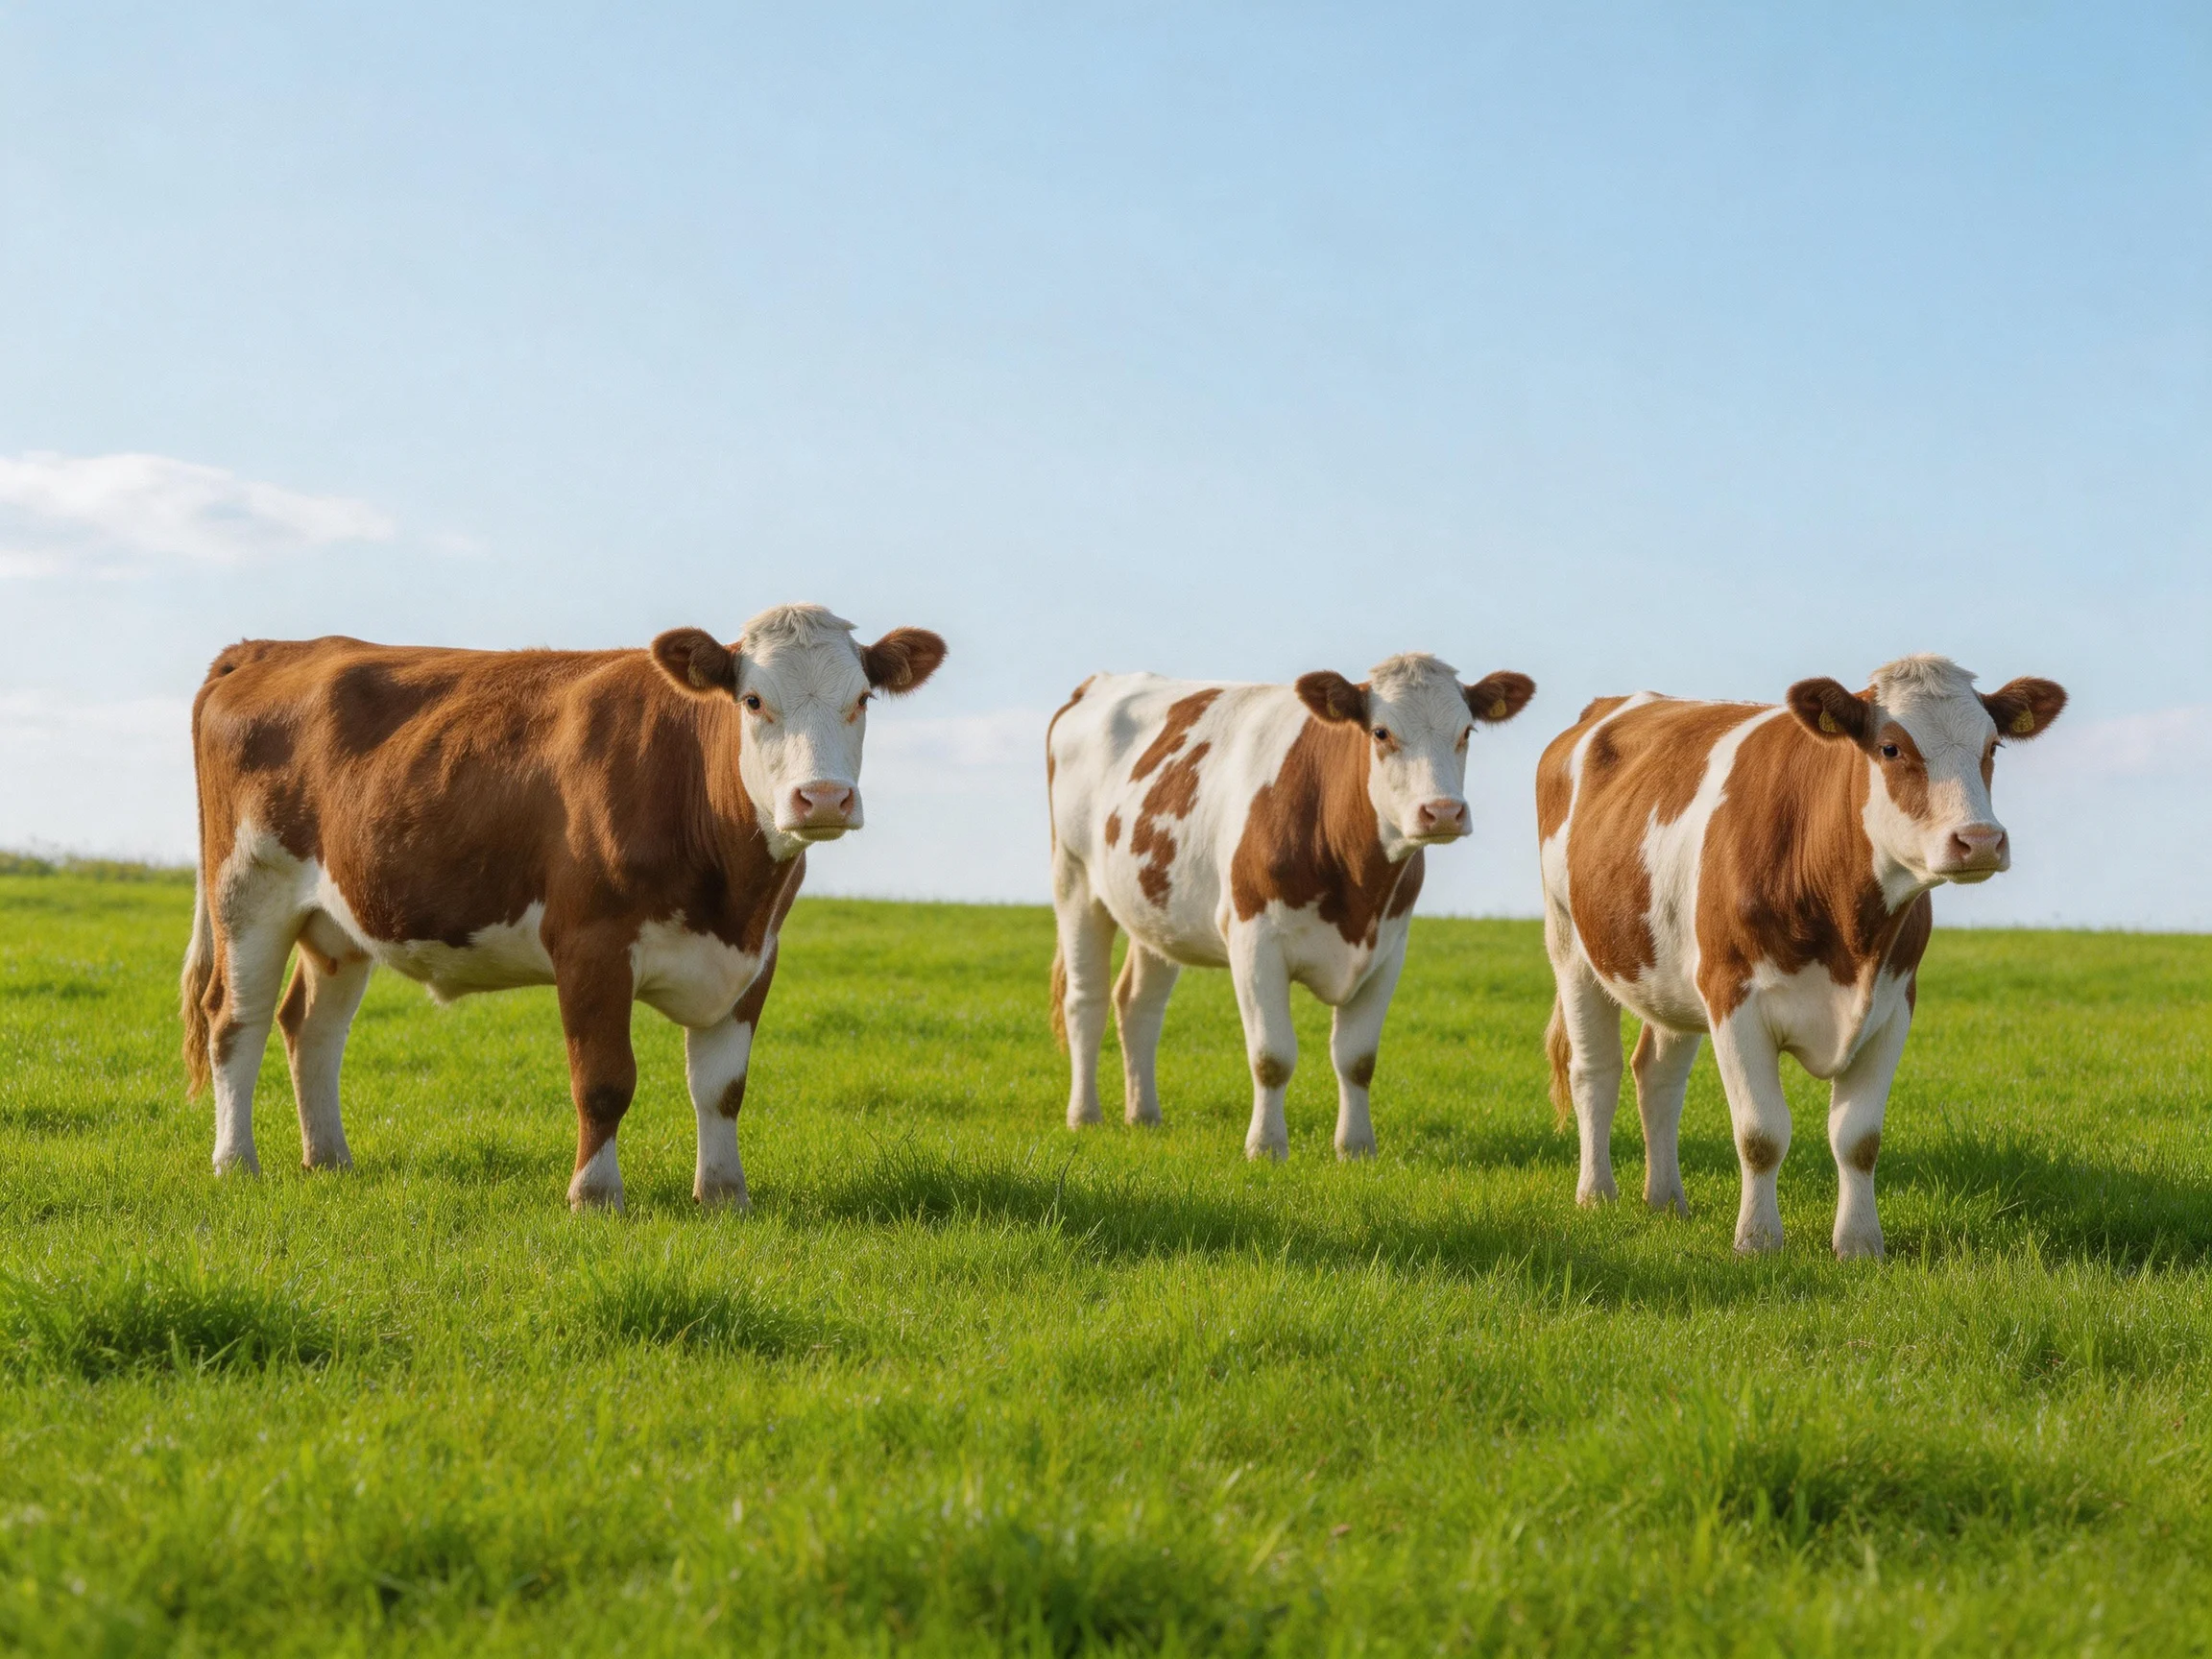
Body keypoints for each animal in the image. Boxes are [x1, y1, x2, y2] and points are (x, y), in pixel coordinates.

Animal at [179, 604, 946, 1211]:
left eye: (863, 699)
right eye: (753, 701)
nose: (822, 798)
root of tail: (268, 647)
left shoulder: (756, 956)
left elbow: (721, 1088)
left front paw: (726, 1196)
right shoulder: (590, 945)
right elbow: (604, 1081)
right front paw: (595, 1195)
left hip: (339, 918)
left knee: (310, 1027)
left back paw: (330, 1160)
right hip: (247, 891)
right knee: (234, 1021)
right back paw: (235, 1164)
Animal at [1047, 654, 1536, 1159]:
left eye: (1467, 732)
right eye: (1381, 732)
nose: (1442, 811)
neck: (1357, 888)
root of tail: (1099, 682)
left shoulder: (1388, 951)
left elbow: (1358, 1059)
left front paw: (1356, 1149)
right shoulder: (1253, 941)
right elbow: (1272, 1057)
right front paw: (1266, 1148)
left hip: (1155, 907)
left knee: (1138, 1004)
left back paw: (1144, 1116)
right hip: (1075, 878)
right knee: (1085, 1000)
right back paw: (1084, 1116)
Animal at [1536, 654, 2066, 1257]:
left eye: (1993, 745)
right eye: (1890, 748)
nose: (1979, 840)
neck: (1850, 937)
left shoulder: (1894, 1004)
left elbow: (1859, 1138)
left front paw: (1860, 1244)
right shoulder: (1732, 995)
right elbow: (1761, 1134)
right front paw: (1758, 1240)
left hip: (1666, 974)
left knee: (1658, 1077)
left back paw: (1667, 1201)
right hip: (1570, 942)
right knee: (1594, 1071)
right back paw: (1596, 1195)